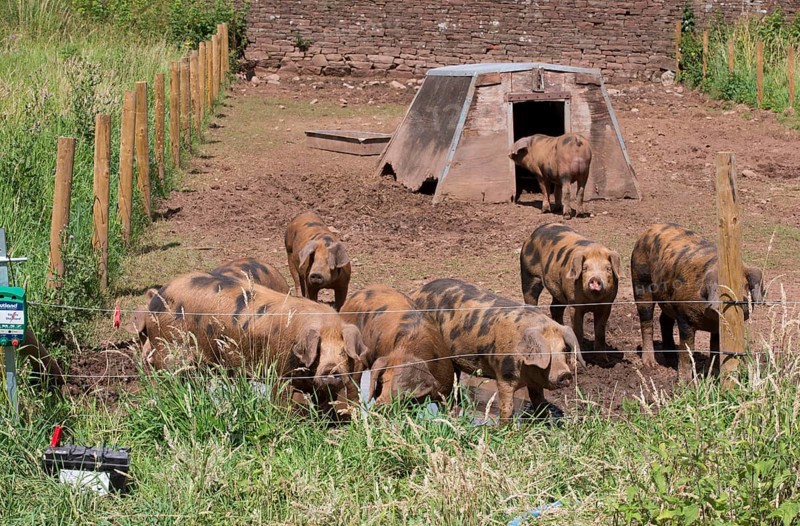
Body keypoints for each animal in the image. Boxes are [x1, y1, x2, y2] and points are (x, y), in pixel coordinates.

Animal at [136, 270, 367, 412]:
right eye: (319, 350)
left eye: (343, 351)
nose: (331, 370)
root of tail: (158, 296)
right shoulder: (277, 372)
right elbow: (282, 401)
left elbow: (325, 403)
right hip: (169, 350)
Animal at [412, 278, 581, 421]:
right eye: (546, 352)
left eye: (564, 349)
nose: (565, 374)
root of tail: (417, 292)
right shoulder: (504, 374)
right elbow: (507, 408)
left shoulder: (535, 383)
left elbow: (539, 401)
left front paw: (545, 422)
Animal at [520, 223, 620, 364]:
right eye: (585, 268)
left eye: (608, 268)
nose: (595, 279)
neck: (592, 300)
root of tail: (533, 234)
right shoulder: (574, 303)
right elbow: (578, 330)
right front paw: (578, 360)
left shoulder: (607, 305)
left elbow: (600, 331)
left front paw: (604, 361)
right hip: (528, 274)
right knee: (530, 299)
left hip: (558, 290)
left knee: (554, 308)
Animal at [631, 223, 765, 381]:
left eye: (745, 286)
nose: (741, 302)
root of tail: (650, 229)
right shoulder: (684, 317)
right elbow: (687, 349)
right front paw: (684, 382)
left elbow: (716, 349)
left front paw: (714, 378)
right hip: (640, 279)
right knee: (646, 320)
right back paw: (650, 364)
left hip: (667, 299)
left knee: (664, 320)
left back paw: (671, 359)